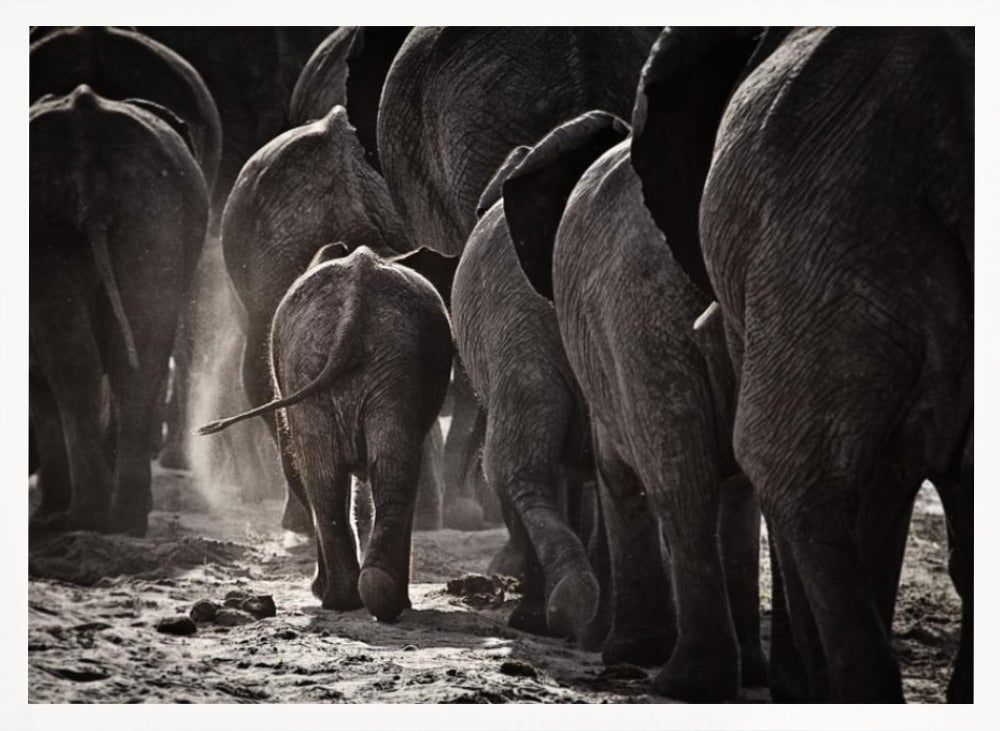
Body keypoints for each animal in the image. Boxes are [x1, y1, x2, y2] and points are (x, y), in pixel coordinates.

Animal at [199, 244, 454, 622]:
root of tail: (354, 306)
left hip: (358, 363)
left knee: (332, 475)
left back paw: (350, 597)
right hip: (361, 362)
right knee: (370, 471)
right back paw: (367, 597)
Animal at [508, 110, 766, 701]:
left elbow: (617, 472)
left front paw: (626, 652)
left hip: (638, 318)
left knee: (680, 479)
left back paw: (684, 679)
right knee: (728, 483)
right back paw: (737, 674)